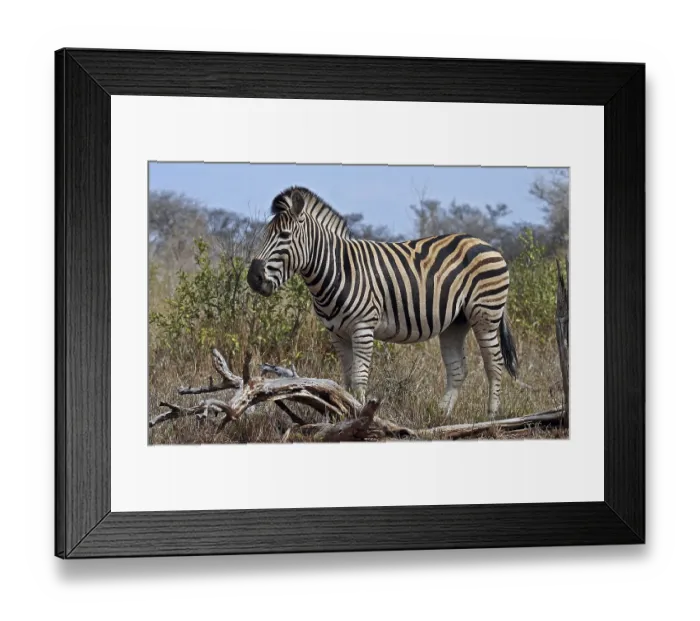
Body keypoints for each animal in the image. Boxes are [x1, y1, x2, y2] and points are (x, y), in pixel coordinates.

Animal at [247, 186, 518, 419]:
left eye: (284, 235)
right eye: (264, 234)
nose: (253, 278)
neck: (337, 270)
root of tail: (487, 244)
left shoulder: (362, 328)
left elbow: (359, 378)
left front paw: (359, 416)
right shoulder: (337, 333)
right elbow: (346, 380)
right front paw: (344, 413)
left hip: (485, 315)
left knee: (494, 364)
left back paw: (491, 415)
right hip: (456, 322)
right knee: (458, 369)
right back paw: (441, 415)